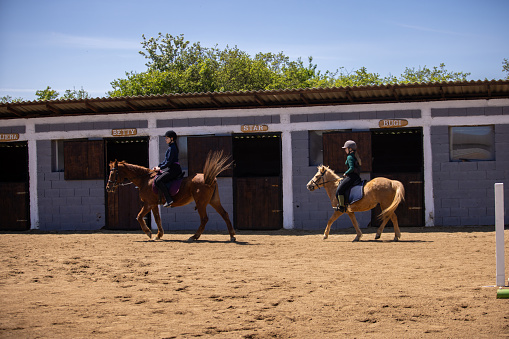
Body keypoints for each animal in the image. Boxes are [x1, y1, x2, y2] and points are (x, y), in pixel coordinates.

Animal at [106, 151, 236, 242]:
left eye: (113, 173)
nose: (108, 187)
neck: (145, 180)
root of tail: (210, 178)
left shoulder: (148, 204)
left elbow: (139, 217)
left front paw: (148, 232)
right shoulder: (153, 204)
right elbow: (157, 219)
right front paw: (158, 235)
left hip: (201, 203)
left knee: (204, 219)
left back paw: (194, 237)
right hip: (213, 201)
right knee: (224, 214)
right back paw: (232, 236)